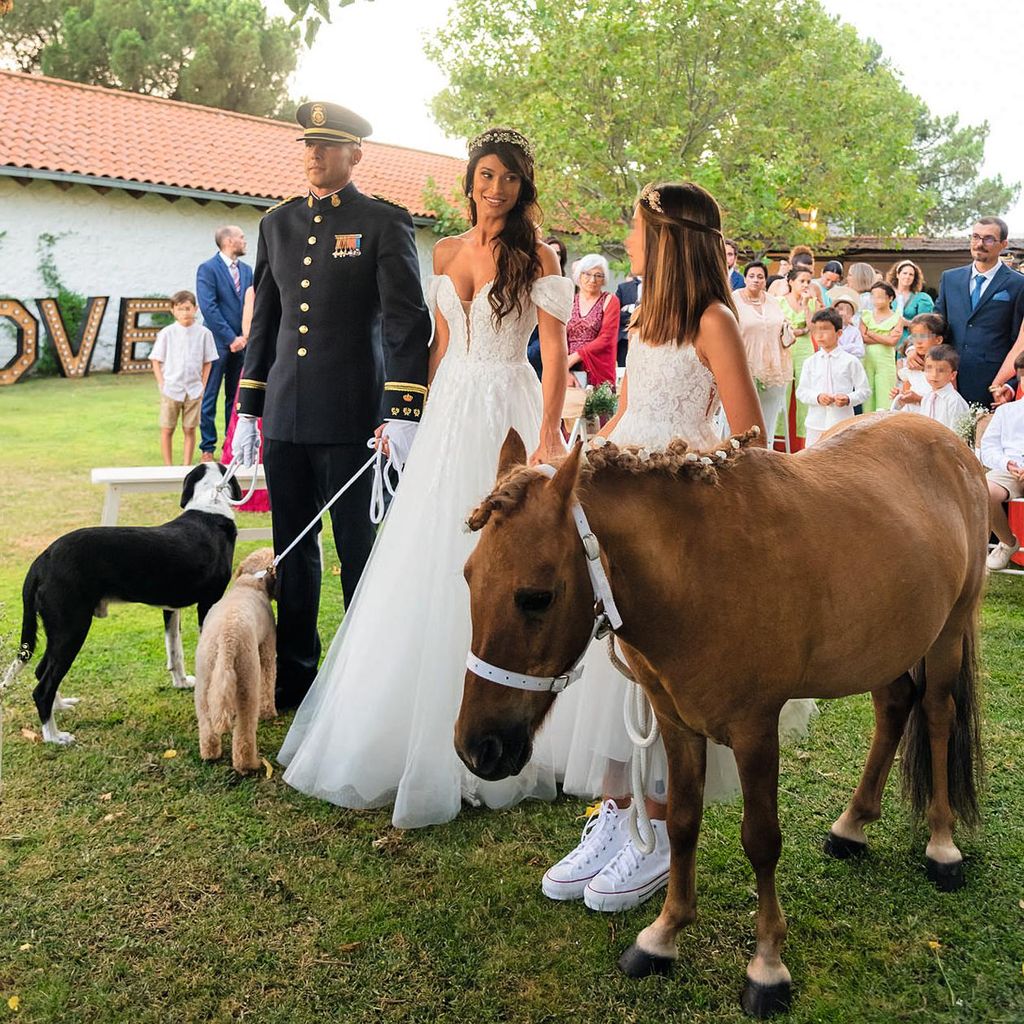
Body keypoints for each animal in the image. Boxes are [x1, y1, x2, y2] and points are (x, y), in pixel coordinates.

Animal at [4, 464, 241, 745]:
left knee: (42, 671)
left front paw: (182, 683)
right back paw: (54, 736)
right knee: (43, 686)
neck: (209, 505)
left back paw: (59, 706)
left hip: (59, 631)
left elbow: (175, 651)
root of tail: (43, 560)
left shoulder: (170, 608)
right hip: (71, 628)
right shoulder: (208, 603)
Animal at [454, 413, 983, 1015]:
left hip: (947, 633)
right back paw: (852, 826)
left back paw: (942, 845)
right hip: (885, 644)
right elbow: (683, 823)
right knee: (894, 706)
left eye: (536, 597)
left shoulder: (756, 731)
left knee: (936, 717)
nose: (477, 747)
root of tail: (950, 443)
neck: (698, 572)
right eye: (469, 576)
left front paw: (768, 964)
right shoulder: (676, 723)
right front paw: (663, 936)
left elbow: (762, 840)